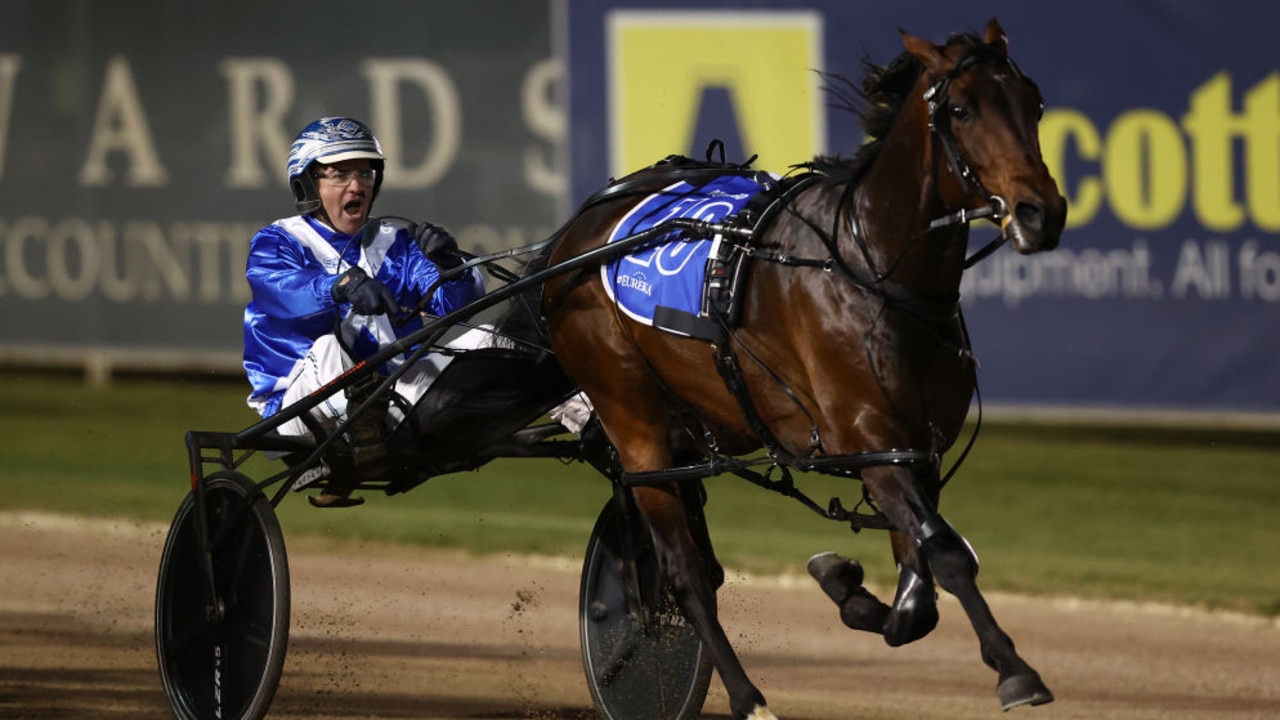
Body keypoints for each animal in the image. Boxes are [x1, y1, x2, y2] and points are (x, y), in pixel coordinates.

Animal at [542, 18, 1070, 717]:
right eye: (960, 109)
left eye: (1032, 103)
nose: (1042, 212)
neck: (870, 270)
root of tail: (575, 235)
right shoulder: (870, 439)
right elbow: (948, 554)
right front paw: (1016, 670)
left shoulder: (915, 452)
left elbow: (918, 589)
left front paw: (848, 584)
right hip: (633, 418)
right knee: (683, 573)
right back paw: (747, 696)